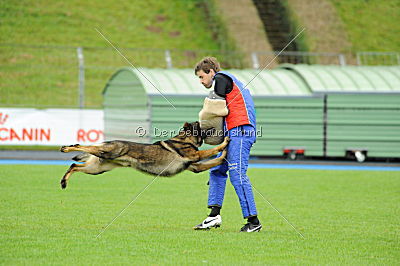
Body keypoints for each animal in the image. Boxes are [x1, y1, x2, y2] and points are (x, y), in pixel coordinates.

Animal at [59, 121, 228, 188]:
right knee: (83, 146)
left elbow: (217, 160)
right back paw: (67, 148)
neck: (184, 139)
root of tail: (107, 141)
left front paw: (225, 154)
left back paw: (64, 181)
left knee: (74, 165)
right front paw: (225, 144)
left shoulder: (195, 167)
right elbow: (211, 151)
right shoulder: (195, 156)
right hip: (108, 152)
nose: (209, 126)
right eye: (199, 126)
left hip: (98, 169)